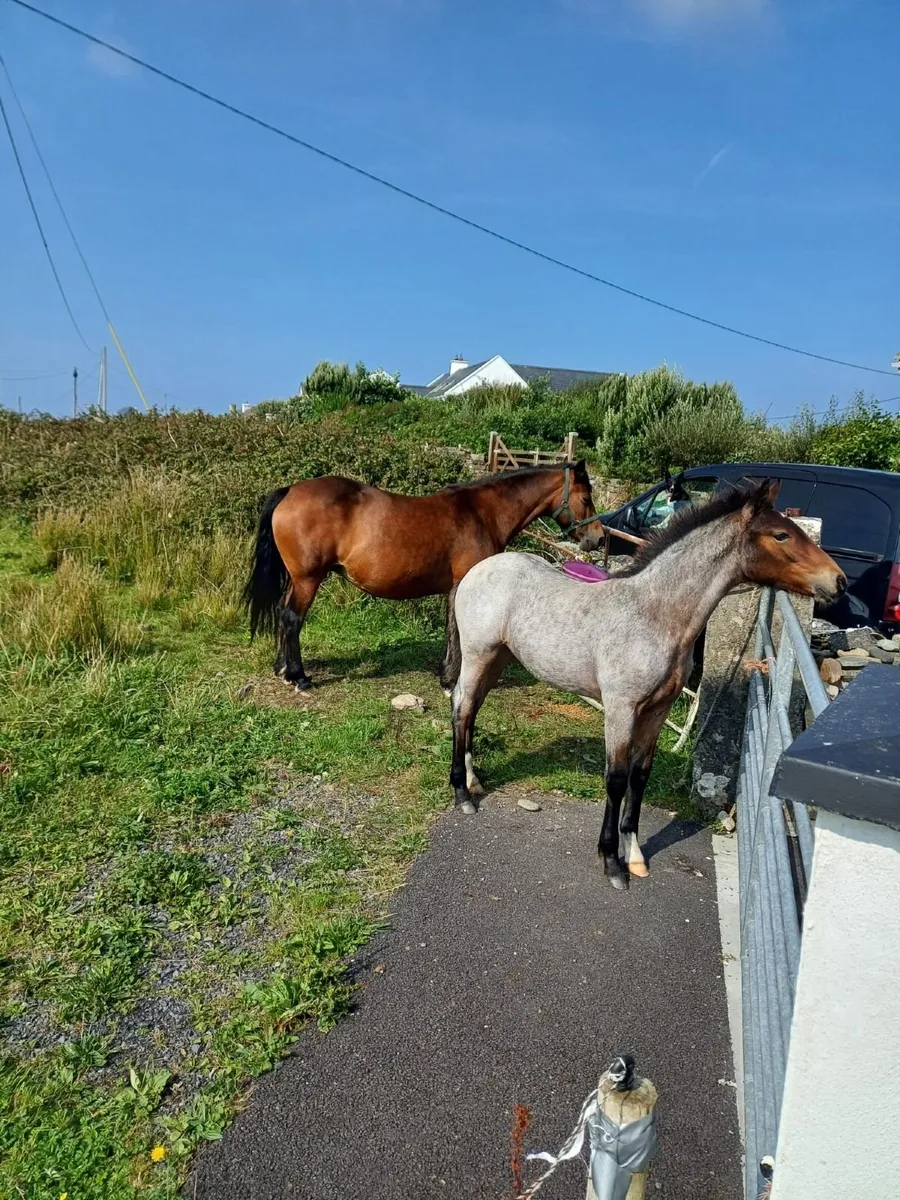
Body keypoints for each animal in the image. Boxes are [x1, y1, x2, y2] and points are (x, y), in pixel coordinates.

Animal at [243, 461, 602, 690]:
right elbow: (455, 628)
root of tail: (291, 491)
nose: (598, 539)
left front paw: (445, 673)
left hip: (297, 579)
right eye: (586, 498)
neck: (481, 512)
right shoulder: (464, 583)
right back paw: (299, 676)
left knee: (282, 612)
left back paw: (282, 667)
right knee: (292, 618)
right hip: (308, 579)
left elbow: (450, 627)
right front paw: (450, 680)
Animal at [442, 479, 846, 890]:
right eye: (781, 535)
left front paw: (634, 856)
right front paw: (611, 862)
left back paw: (474, 782)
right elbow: (617, 779)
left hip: (497, 659)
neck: (655, 614)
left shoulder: (657, 710)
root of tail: (476, 570)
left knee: (470, 708)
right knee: (461, 707)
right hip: (477, 655)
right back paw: (462, 794)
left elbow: (639, 776)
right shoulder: (621, 708)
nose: (839, 581)